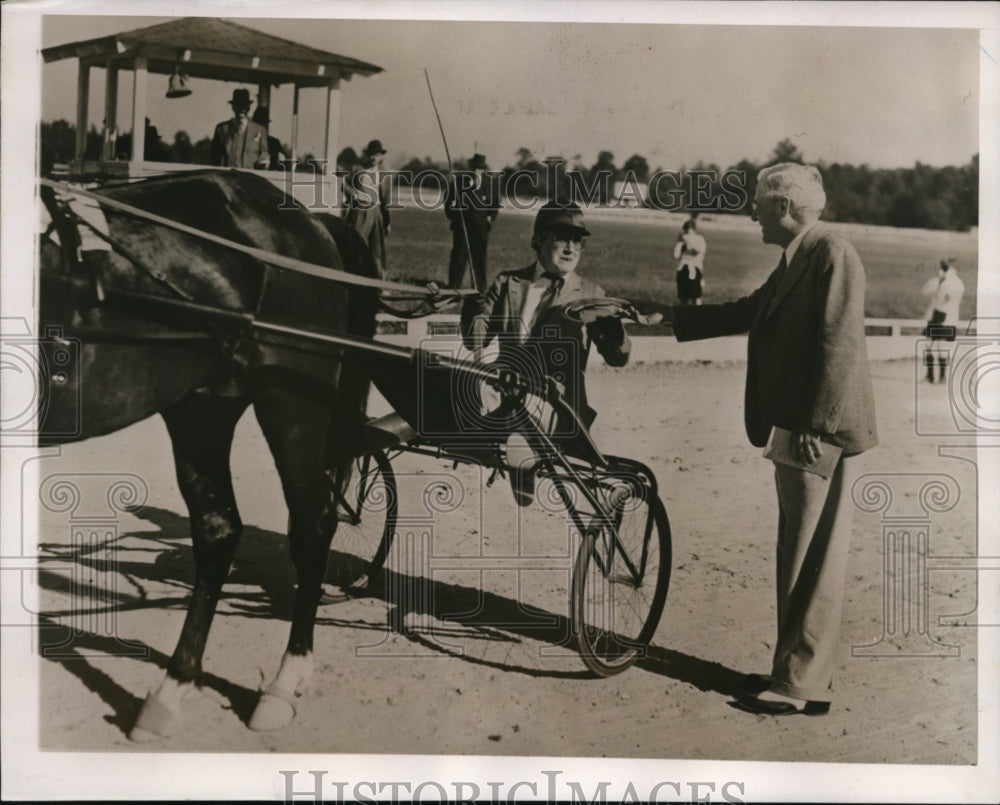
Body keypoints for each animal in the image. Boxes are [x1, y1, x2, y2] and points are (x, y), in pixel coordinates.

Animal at [39, 171, 378, 740]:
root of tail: (307, 218)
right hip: (202, 405)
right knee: (219, 530)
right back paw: (173, 687)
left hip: (290, 402)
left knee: (312, 526)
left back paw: (284, 681)